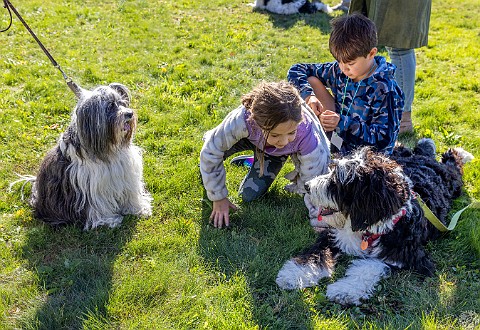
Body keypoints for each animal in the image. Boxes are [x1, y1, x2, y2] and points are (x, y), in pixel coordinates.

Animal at [276, 138, 474, 306]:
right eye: (331, 170)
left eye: (336, 182)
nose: (308, 186)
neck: (365, 226)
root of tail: (424, 159)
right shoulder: (332, 236)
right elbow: (315, 254)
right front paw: (293, 275)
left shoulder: (403, 254)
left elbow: (369, 267)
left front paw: (344, 290)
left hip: (453, 180)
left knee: (453, 164)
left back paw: (460, 153)